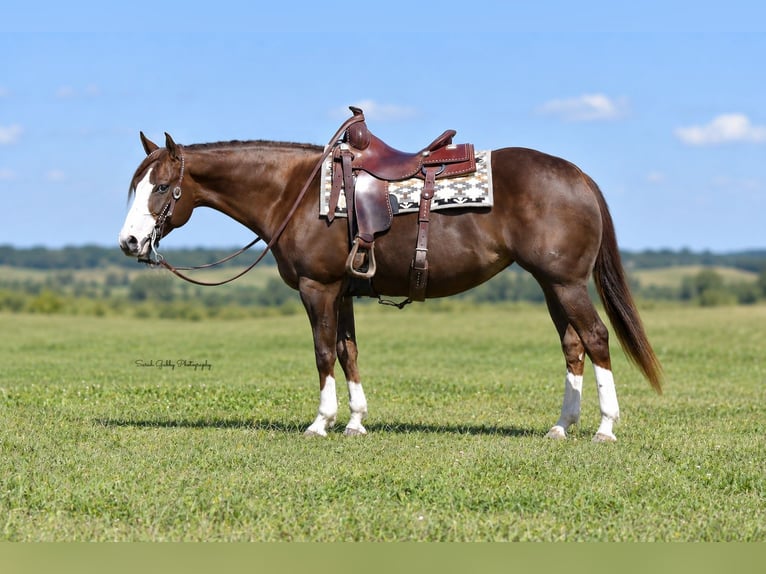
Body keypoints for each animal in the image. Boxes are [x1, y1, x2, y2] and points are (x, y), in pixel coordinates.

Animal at [118, 113, 662, 442]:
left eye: (161, 187)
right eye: (135, 186)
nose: (129, 243)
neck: (294, 193)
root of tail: (578, 176)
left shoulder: (318, 289)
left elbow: (323, 352)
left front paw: (321, 422)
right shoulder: (343, 292)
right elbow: (348, 351)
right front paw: (356, 422)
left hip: (566, 283)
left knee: (596, 337)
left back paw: (605, 427)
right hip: (551, 284)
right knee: (573, 344)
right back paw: (561, 426)